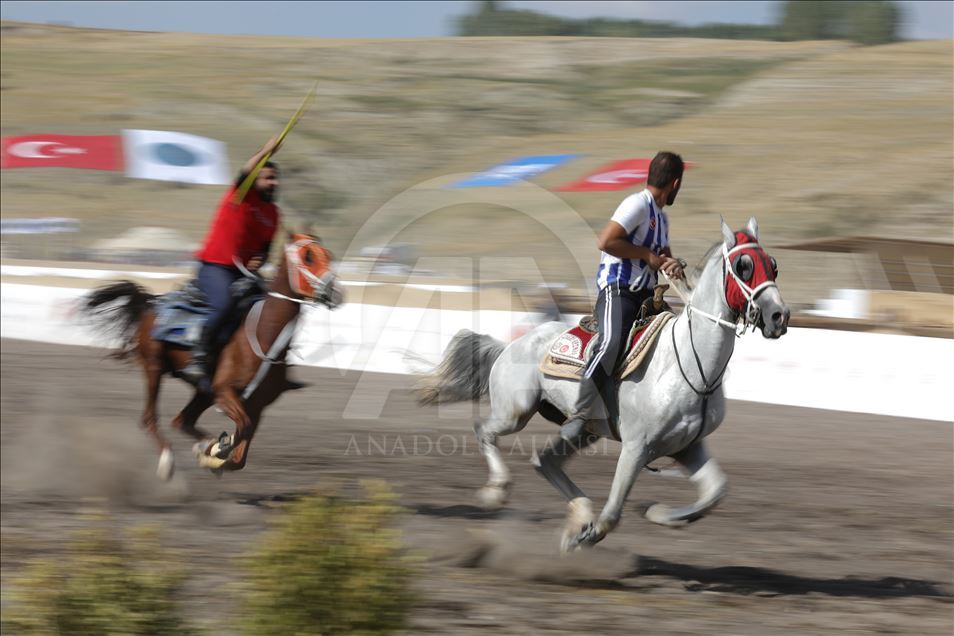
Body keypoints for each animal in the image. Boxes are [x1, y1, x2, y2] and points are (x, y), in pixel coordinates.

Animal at [79, 236, 338, 480]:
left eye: (328, 254)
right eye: (308, 256)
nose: (334, 291)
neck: (264, 333)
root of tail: (151, 302)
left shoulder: (256, 405)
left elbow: (239, 457)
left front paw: (214, 452)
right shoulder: (225, 393)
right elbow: (241, 432)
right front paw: (216, 451)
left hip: (204, 391)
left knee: (182, 421)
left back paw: (205, 445)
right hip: (155, 367)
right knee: (150, 418)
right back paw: (168, 461)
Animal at [416, 217, 788, 552]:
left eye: (772, 265)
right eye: (743, 266)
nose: (779, 316)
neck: (688, 364)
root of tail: (510, 346)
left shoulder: (687, 447)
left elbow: (716, 492)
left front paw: (661, 514)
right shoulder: (637, 447)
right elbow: (612, 513)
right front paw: (588, 534)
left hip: (583, 430)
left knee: (544, 462)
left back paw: (579, 515)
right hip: (515, 413)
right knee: (485, 431)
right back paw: (498, 492)